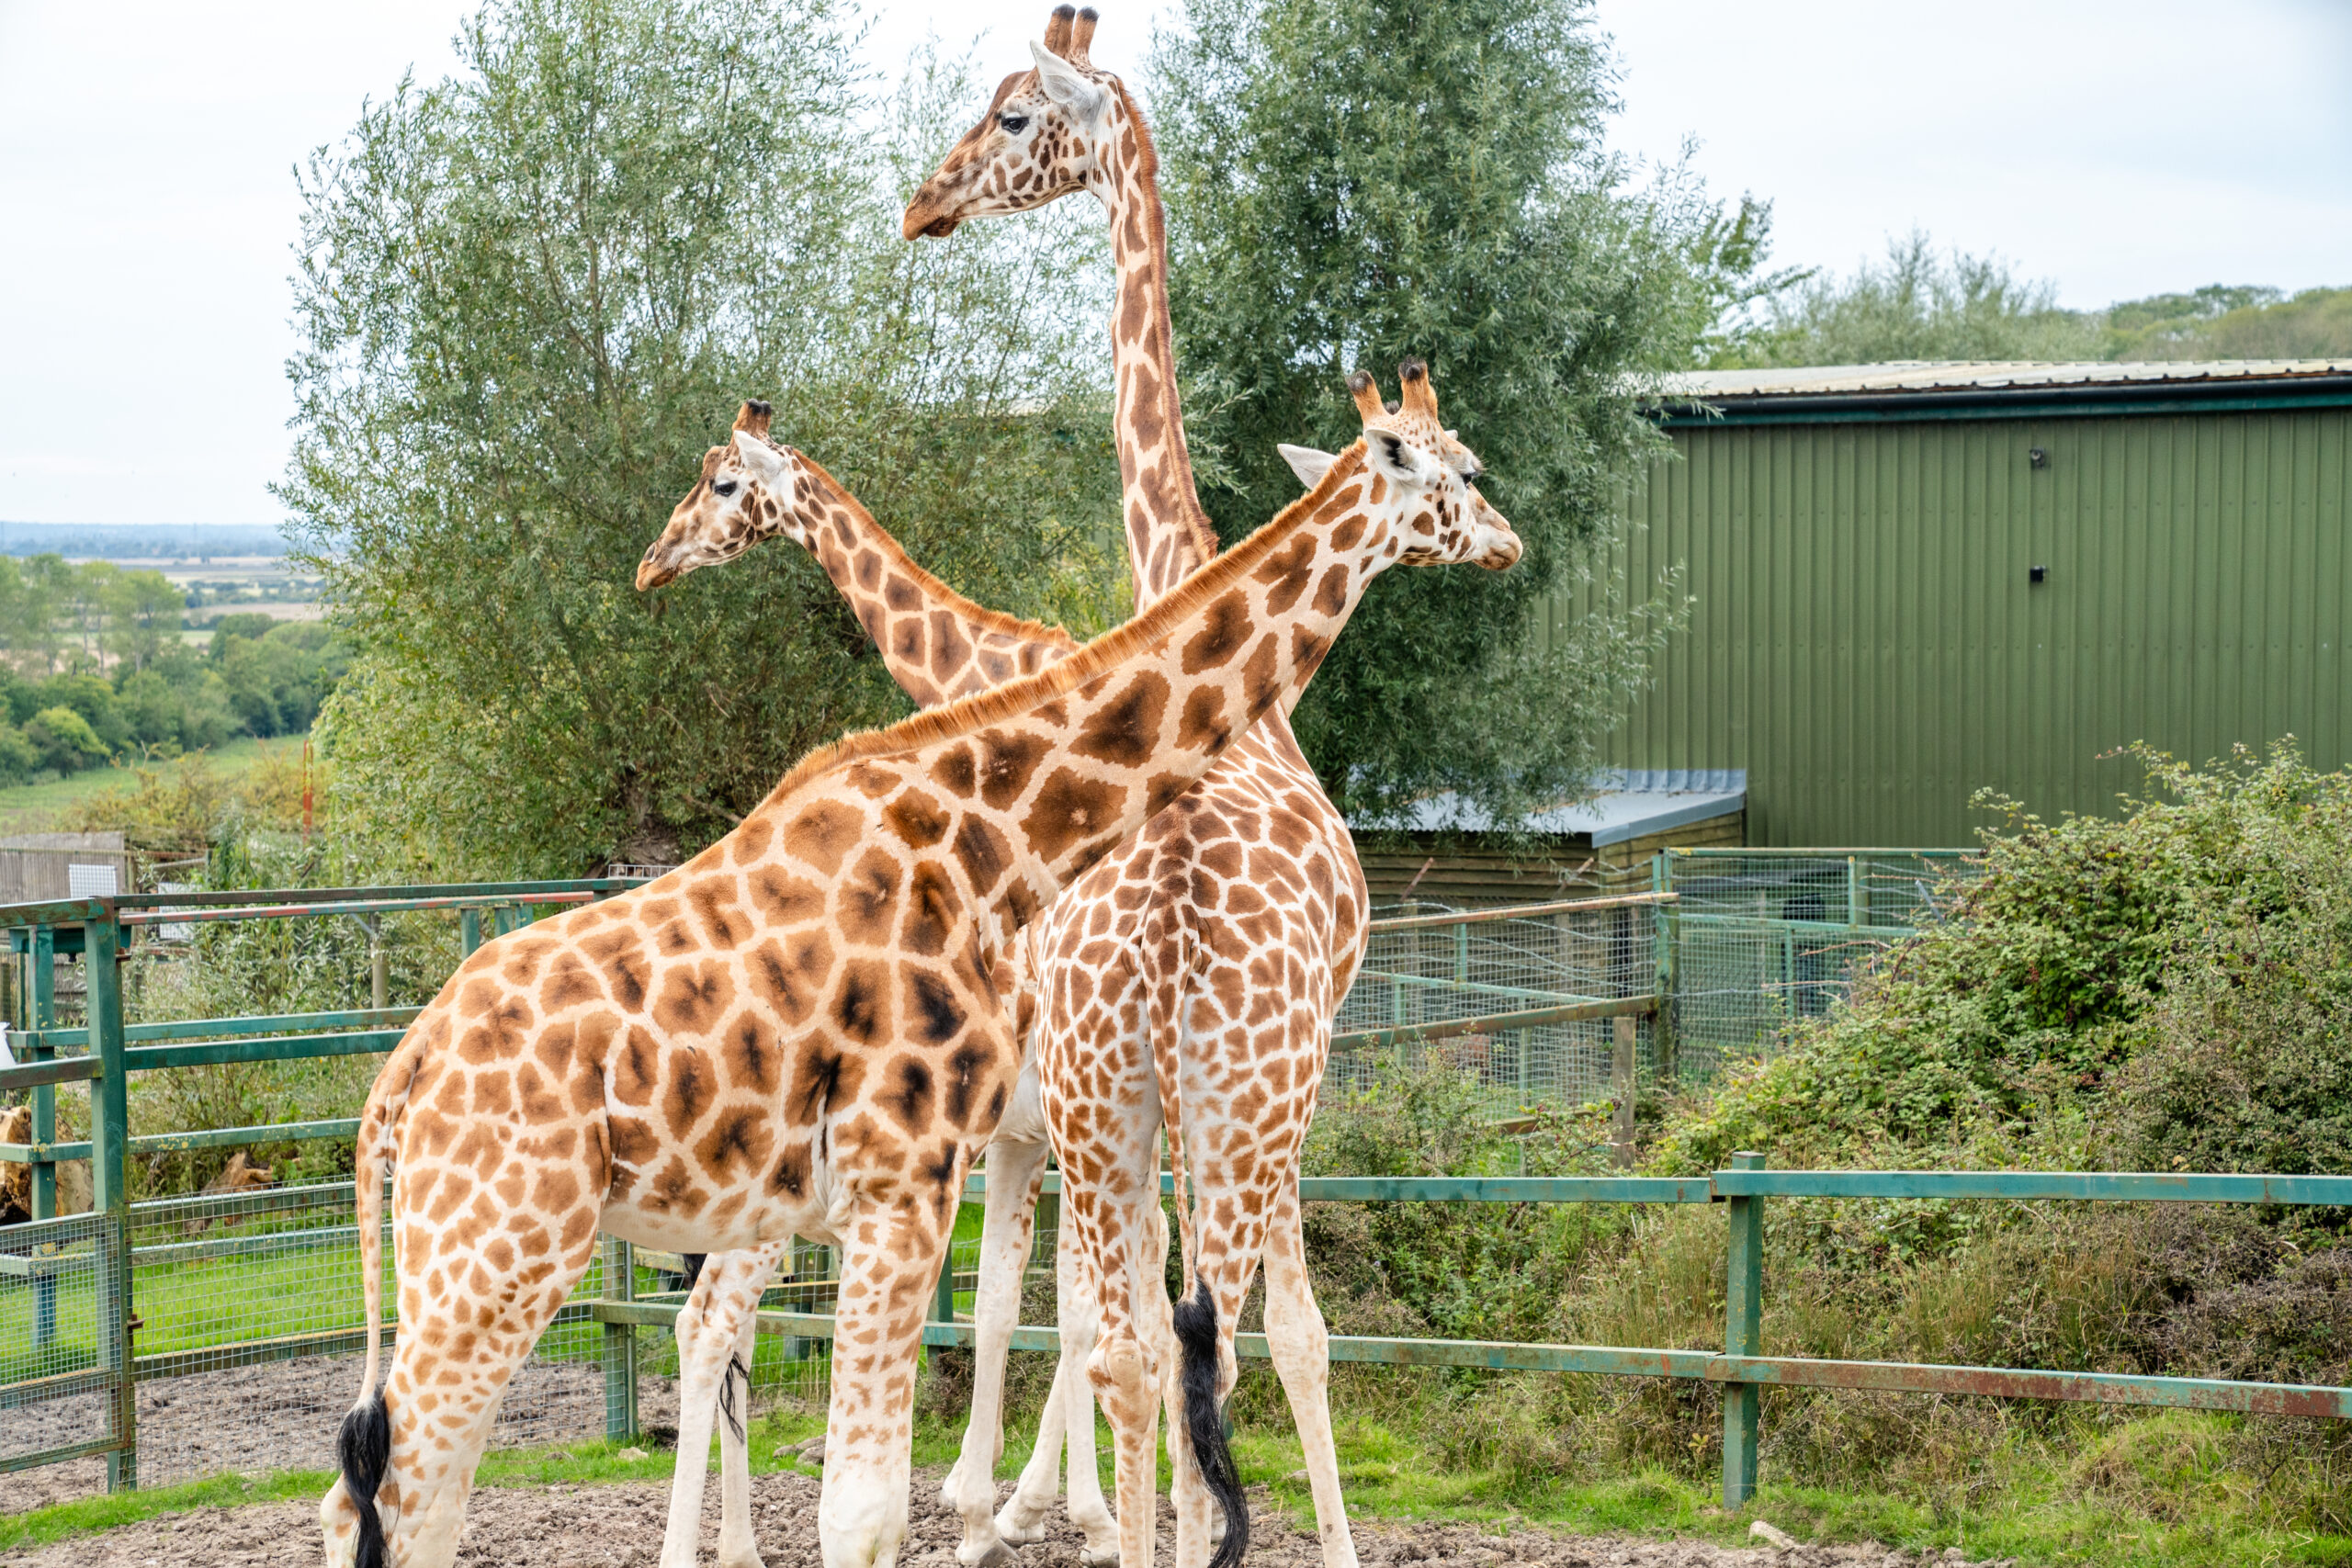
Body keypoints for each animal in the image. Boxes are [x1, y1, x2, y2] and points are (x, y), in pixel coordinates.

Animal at [893, 12, 1458, 1568]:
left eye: (1015, 115)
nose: (922, 206)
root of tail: (1173, 924)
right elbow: (1275, 1330)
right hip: (1231, 1100)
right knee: (1199, 1327)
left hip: (1122, 1097)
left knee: (1145, 1334)